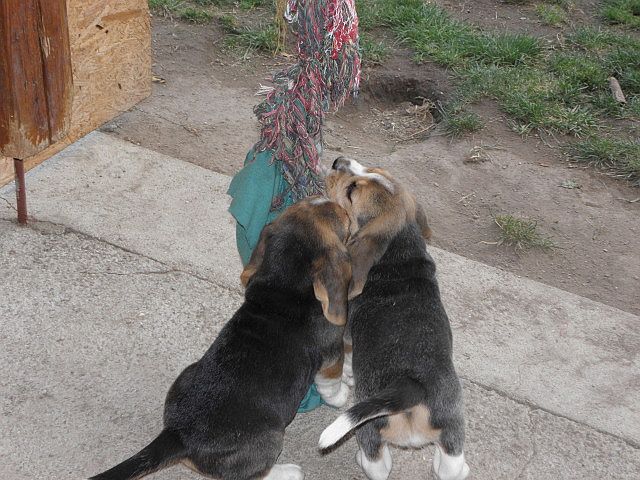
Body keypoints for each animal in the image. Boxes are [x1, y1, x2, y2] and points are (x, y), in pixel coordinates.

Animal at [90, 196, 352, 480]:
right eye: (342, 216)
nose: (330, 198)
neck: (283, 283)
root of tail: (177, 434)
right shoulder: (331, 354)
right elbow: (331, 383)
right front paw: (342, 395)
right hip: (271, 439)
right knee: (253, 473)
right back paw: (287, 471)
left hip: (185, 375)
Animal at [318, 158, 470, 480]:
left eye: (351, 191)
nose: (338, 161)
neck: (400, 248)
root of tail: (408, 387)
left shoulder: (347, 334)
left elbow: (347, 353)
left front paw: (347, 372)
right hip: (452, 428)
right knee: (450, 465)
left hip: (369, 432)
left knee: (377, 463)